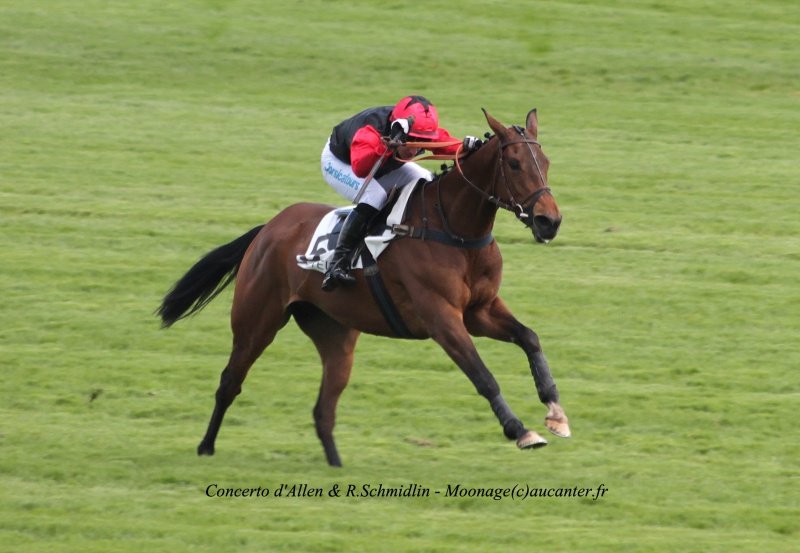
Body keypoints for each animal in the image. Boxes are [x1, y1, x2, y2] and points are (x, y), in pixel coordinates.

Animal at [157, 108, 570, 467]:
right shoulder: (442, 318)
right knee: (230, 381)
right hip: (257, 320)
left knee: (323, 408)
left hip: (335, 334)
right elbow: (482, 375)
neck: (452, 228)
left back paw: (336, 466)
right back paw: (206, 448)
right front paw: (520, 430)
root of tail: (268, 229)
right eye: (514, 164)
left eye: (546, 161)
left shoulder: (479, 310)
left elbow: (530, 337)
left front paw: (555, 412)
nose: (548, 221)